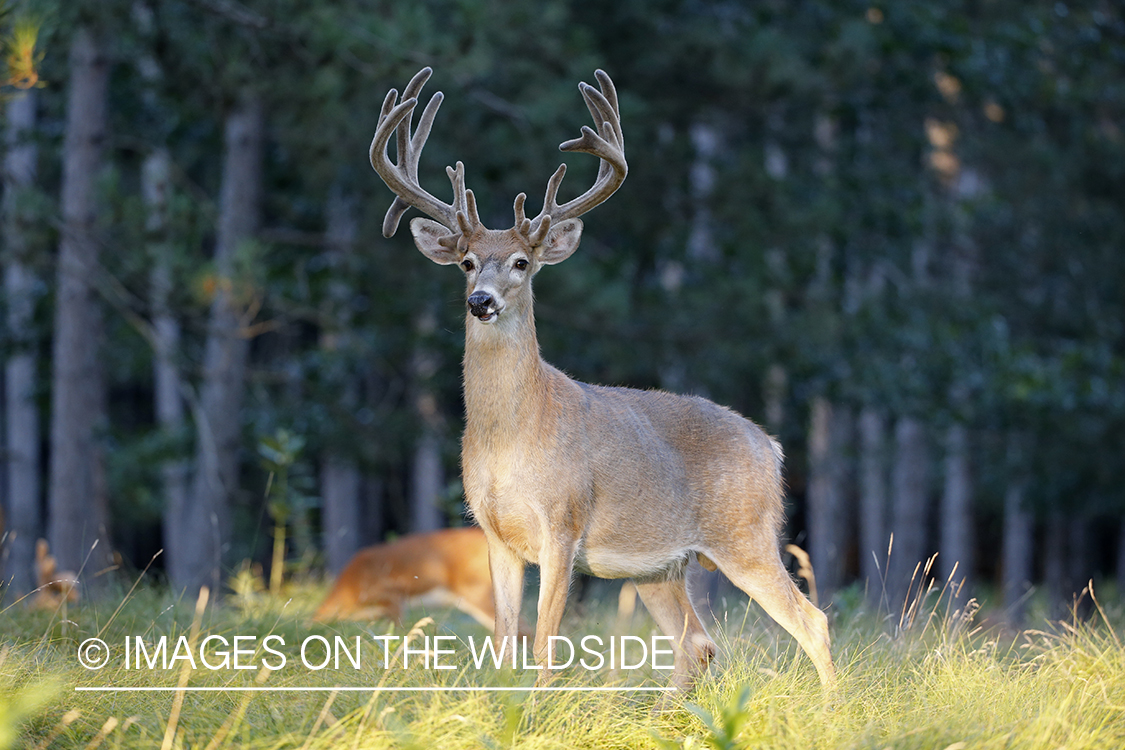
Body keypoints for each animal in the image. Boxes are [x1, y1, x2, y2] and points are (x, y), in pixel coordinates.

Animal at [369, 67, 837, 688]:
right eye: (467, 261)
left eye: (522, 262)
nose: (480, 301)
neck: (514, 432)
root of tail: (772, 446)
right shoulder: (496, 533)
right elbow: (502, 643)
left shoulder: (563, 523)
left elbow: (544, 644)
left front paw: (537, 704)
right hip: (661, 565)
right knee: (698, 643)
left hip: (746, 535)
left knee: (812, 621)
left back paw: (835, 704)